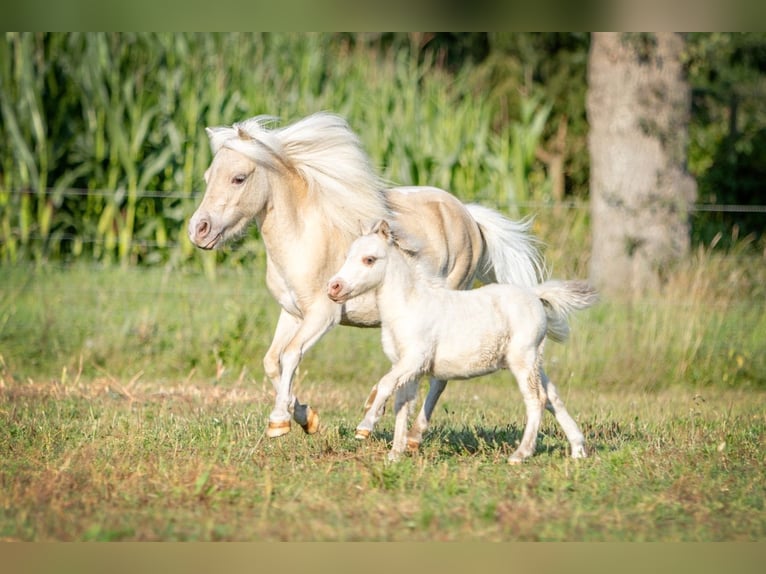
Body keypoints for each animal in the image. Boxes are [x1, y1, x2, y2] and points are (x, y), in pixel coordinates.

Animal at [188, 112, 544, 443]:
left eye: (238, 178)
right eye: (207, 176)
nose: (198, 230)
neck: (303, 236)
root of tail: (469, 217)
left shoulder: (323, 315)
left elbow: (290, 356)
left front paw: (279, 422)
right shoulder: (292, 313)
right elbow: (272, 361)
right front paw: (306, 418)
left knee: (436, 376)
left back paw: (407, 432)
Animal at [327, 220, 597, 462]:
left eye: (369, 259)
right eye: (347, 256)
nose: (334, 287)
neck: (409, 305)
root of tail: (534, 295)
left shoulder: (414, 360)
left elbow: (384, 385)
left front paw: (365, 427)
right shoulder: (407, 368)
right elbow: (402, 405)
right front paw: (395, 454)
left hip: (523, 359)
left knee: (536, 400)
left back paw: (520, 455)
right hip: (534, 362)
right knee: (552, 397)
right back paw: (578, 449)